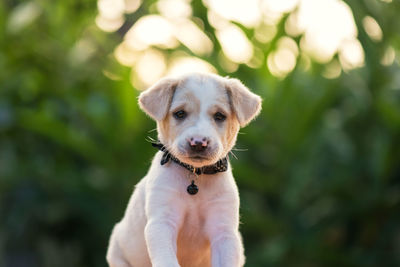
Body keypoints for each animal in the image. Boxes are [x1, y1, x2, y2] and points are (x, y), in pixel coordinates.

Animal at [106, 73, 262, 267]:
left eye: (219, 116)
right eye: (180, 114)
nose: (198, 143)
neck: (194, 176)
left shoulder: (224, 230)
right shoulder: (162, 223)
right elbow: (167, 260)